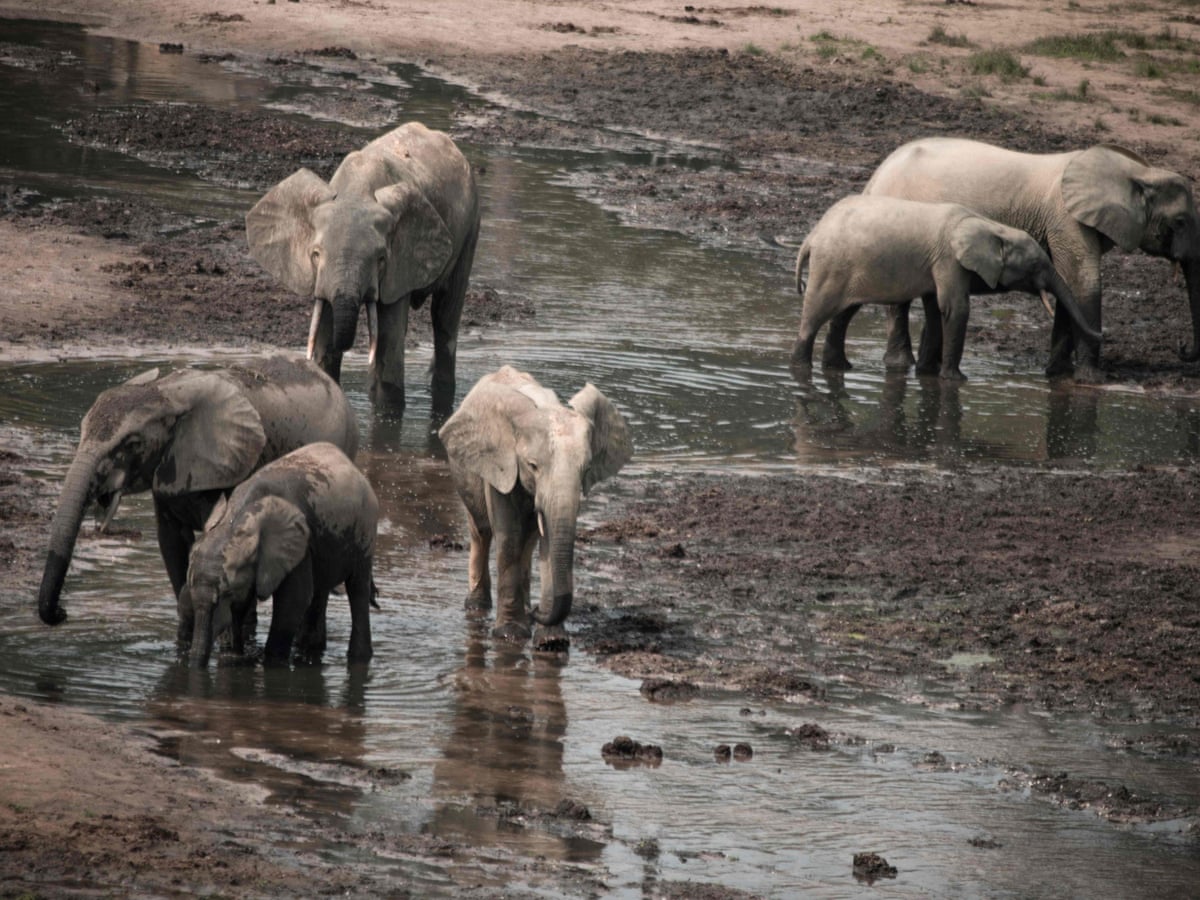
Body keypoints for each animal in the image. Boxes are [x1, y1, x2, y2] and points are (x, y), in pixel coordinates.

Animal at [181, 442, 378, 668]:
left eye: (227, 593)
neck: (236, 519)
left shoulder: (300, 545)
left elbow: (294, 601)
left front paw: (271, 661)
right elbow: (242, 606)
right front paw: (232, 656)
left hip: (365, 531)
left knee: (357, 590)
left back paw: (358, 656)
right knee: (320, 591)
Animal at [246, 122, 480, 412]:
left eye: (381, 259)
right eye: (315, 255)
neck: (357, 192)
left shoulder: (399, 265)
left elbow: (388, 341)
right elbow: (325, 335)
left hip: (471, 225)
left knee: (445, 316)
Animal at [438, 366, 633, 647]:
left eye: (586, 469)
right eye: (532, 466)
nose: (538, 612)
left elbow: (547, 539)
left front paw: (551, 641)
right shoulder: (500, 463)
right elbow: (508, 537)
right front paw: (509, 634)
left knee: (527, 541)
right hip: (466, 468)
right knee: (482, 531)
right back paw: (478, 607)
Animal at [791, 194, 1101, 380]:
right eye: (1036, 265)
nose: (1103, 334)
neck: (991, 227)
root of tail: (811, 237)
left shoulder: (938, 263)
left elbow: (934, 310)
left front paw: (926, 372)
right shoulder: (949, 259)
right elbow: (956, 309)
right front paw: (955, 379)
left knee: (844, 314)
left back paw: (839, 367)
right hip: (830, 265)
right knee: (815, 315)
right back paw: (801, 368)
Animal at [828, 137, 1200, 379]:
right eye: (1181, 221)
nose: (1182, 348)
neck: (1138, 171)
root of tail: (877, 174)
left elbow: (1068, 283)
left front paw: (1057, 374)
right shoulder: (1065, 217)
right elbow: (1082, 281)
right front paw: (1090, 381)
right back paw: (899, 366)